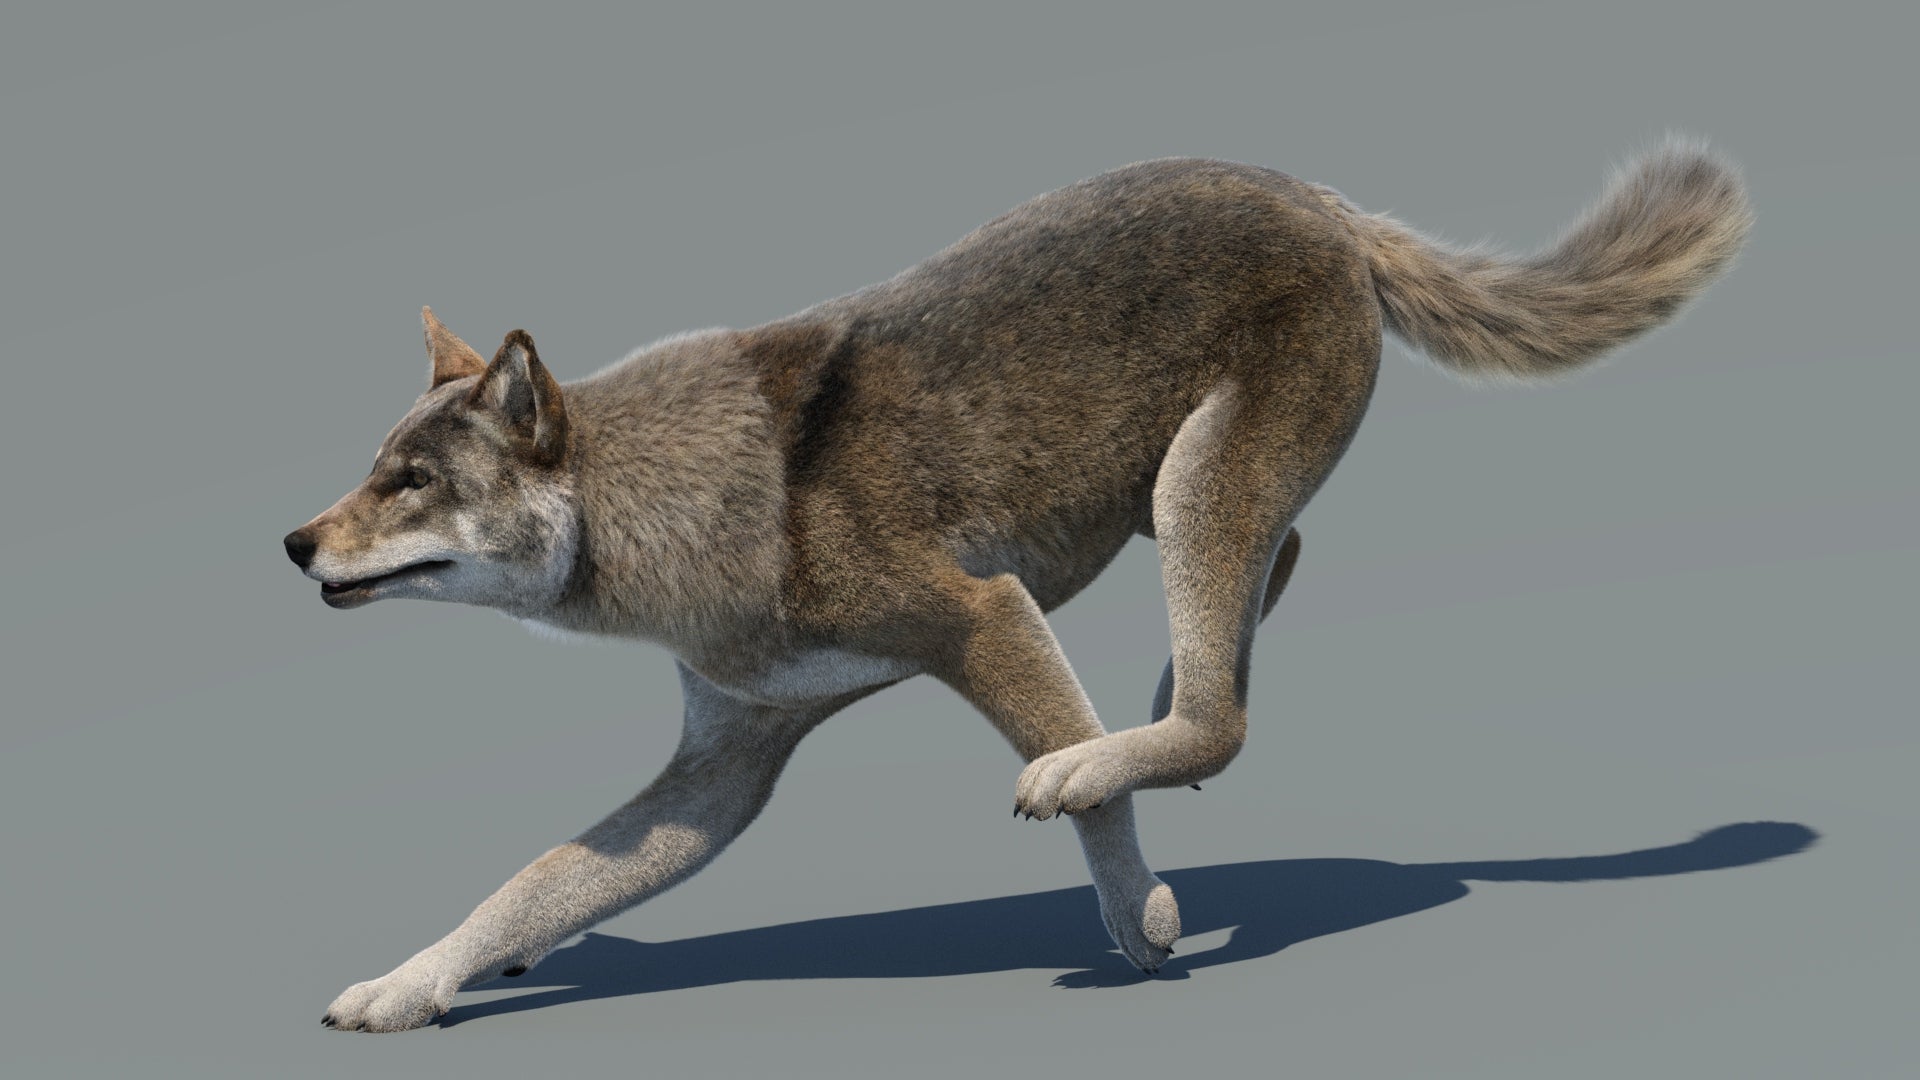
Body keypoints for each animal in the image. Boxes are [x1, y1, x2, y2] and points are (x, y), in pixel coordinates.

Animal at [285, 138, 1750, 1032]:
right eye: (374, 470)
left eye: (410, 483)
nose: (293, 545)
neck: (684, 504)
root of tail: (1319, 194)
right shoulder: (724, 766)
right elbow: (530, 881)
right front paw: (410, 986)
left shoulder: (979, 617)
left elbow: (1085, 803)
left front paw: (1140, 915)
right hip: (1184, 502)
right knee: (1267, 590)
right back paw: (1155, 690)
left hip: (1192, 490)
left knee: (1222, 714)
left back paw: (1115, 741)